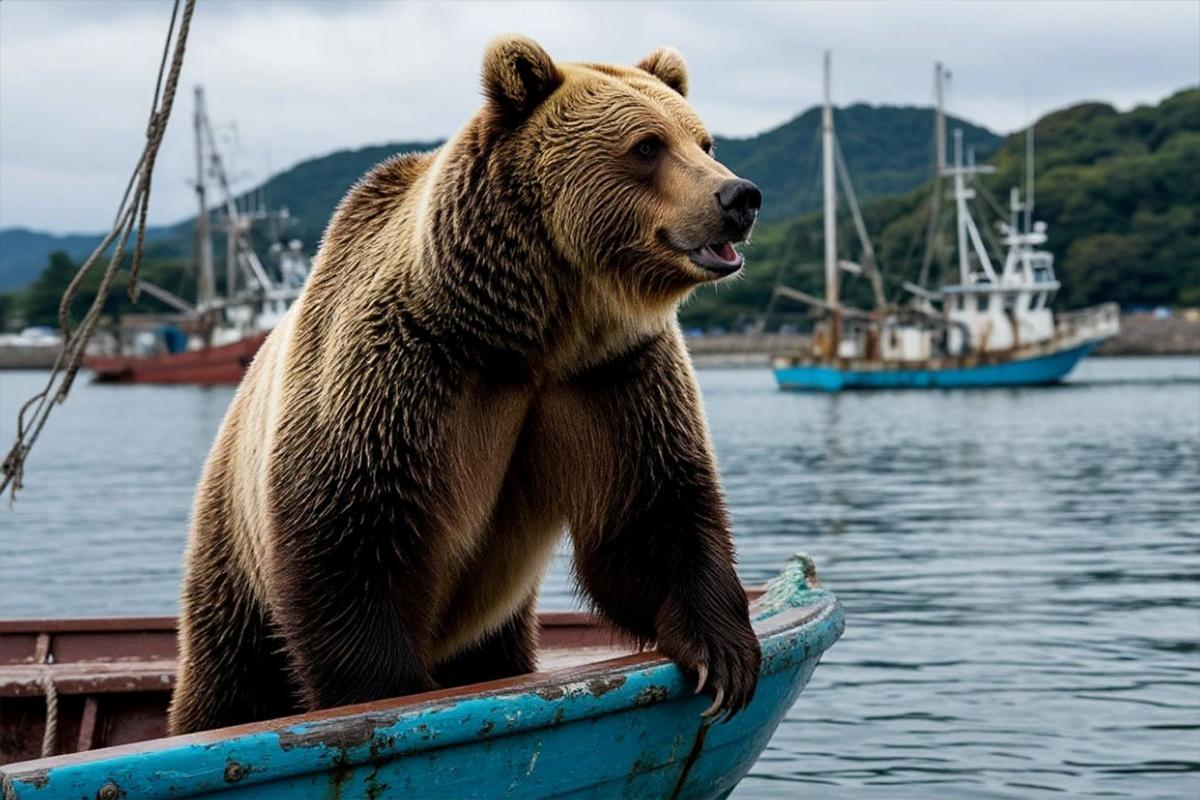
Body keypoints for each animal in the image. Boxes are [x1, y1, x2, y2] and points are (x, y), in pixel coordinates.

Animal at [168, 34, 763, 735]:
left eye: (704, 141)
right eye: (647, 145)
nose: (739, 198)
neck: (533, 330)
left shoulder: (612, 375)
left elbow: (650, 514)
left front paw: (724, 656)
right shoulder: (405, 368)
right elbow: (354, 538)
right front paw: (389, 697)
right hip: (232, 549)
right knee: (231, 676)